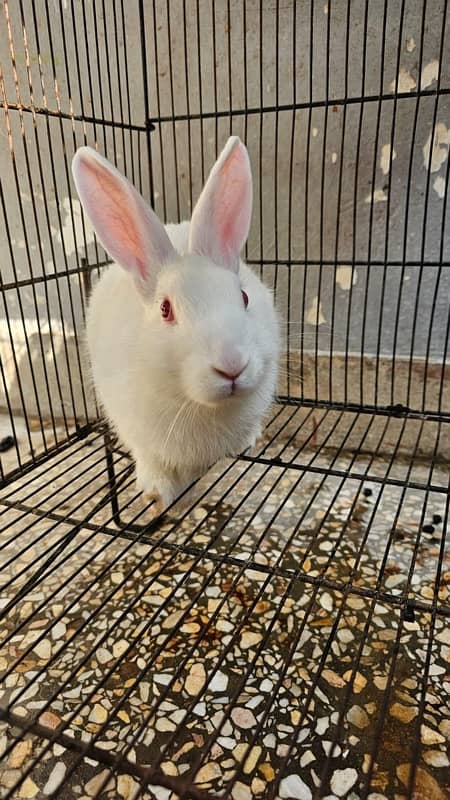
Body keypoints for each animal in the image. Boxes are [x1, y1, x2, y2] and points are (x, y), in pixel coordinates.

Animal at [72, 138, 280, 512]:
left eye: (243, 297)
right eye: (166, 309)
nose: (232, 366)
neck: (197, 404)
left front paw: (247, 440)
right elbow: (152, 462)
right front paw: (157, 495)